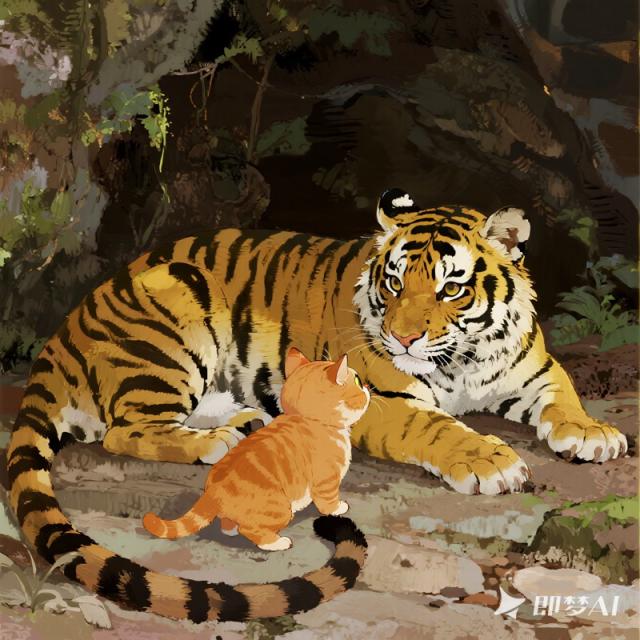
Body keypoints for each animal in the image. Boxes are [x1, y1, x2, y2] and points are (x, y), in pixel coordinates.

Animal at [6, 188, 627, 622]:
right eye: (394, 284)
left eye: (451, 288)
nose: (402, 338)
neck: (465, 358)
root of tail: (60, 336)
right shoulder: (380, 398)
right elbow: (437, 428)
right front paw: (490, 462)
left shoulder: (534, 370)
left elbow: (564, 396)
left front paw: (594, 434)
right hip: (172, 311)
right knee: (125, 429)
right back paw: (218, 441)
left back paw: (248, 419)